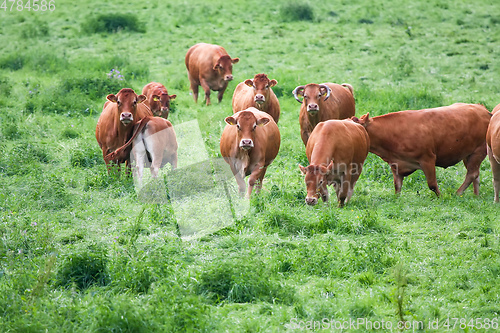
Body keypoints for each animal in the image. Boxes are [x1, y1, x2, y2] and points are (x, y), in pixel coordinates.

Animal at [352, 104, 492, 196]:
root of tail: (483, 109)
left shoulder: (428, 159)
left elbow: (432, 184)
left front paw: (441, 197)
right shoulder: (396, 164)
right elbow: (397, 185)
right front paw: (397, 199)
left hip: (478, 151)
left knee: (472, 174)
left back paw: (458, 193)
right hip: (467, 154)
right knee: (475, 174)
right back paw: (475, 195)